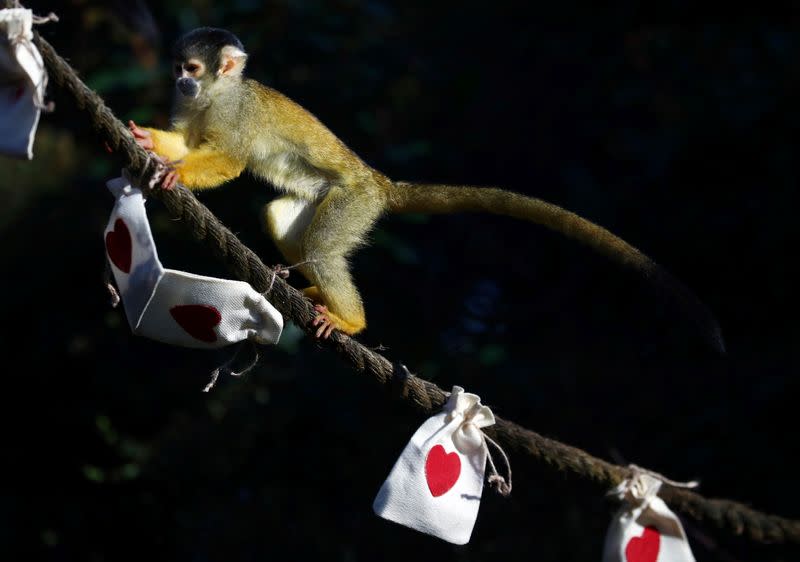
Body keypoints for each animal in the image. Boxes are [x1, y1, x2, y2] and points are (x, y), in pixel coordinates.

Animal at [131, 27, 724, 350]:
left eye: (191, 68)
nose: (179, 80)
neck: (214, 93)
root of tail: (380, 182)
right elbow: (186, 142)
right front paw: (152, 143)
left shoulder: (234, 111)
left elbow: (229, 159)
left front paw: (177, 174)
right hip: (331, 198)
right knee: (282, 215)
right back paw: (318, 292)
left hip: (356, 201)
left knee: (324, 243)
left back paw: (350, 318)